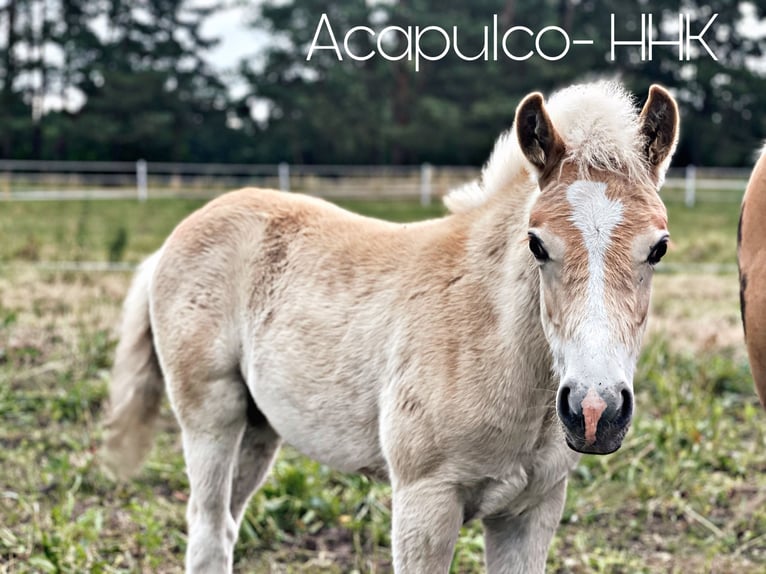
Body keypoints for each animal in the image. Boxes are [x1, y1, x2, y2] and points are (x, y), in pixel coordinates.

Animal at [100, 82, 680, 574]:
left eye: (659, 248)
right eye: (537, 244)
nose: (594, 411)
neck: (487, 341)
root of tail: (173, 240)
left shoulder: (531, 510)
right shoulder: (424, 504)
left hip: (258, 427)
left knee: (224, 526)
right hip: (210, 417)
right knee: (205, 526)